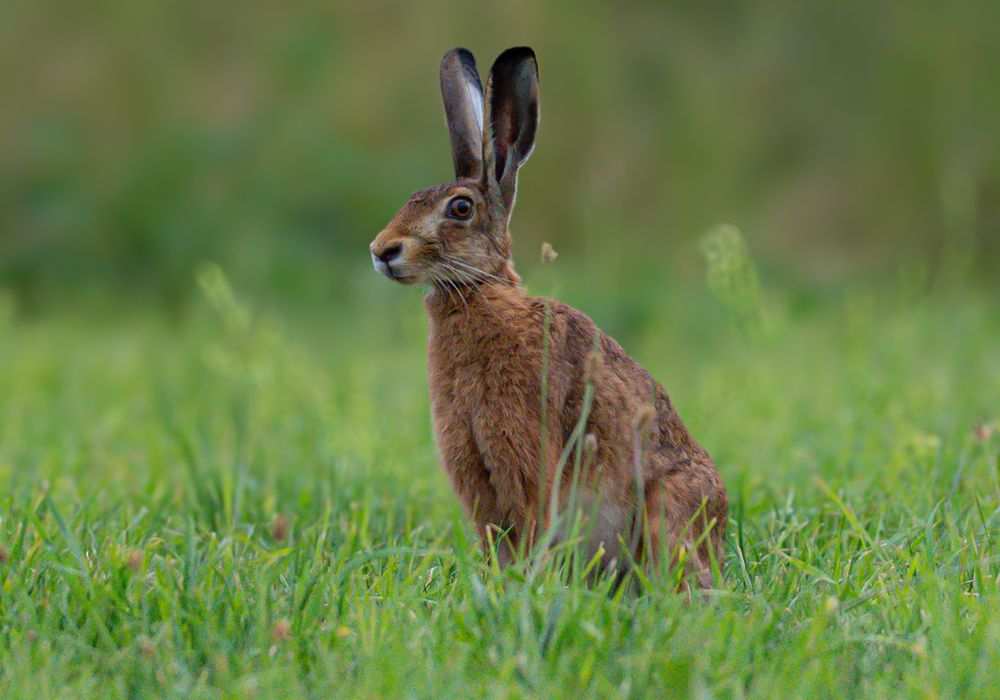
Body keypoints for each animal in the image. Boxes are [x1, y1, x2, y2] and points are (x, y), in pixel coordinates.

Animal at [369, 47, 727, 587]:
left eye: (460, 208)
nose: (382, 250)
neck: (478, 291)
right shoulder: (474, 467)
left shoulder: (525, 452)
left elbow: (533, 521)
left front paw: (526, 584)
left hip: (666, 506)